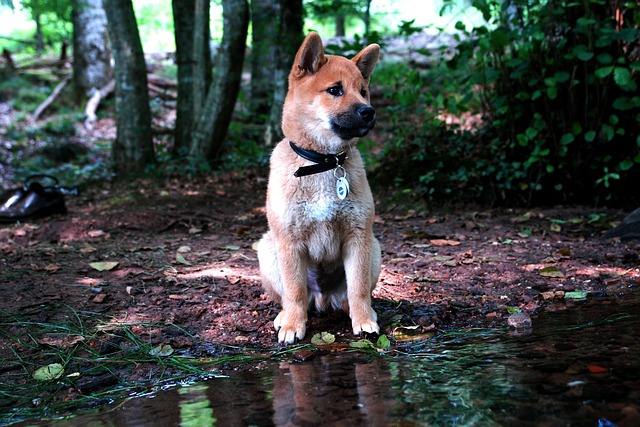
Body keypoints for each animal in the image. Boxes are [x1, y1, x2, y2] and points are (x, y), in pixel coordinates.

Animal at [258, 31, 382, 344]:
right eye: (335, 90)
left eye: (363, 91)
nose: (369, 112)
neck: (324, 163)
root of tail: (324, 298)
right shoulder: (288, 242)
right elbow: (294, 291)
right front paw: (293, 325)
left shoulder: (358, 236)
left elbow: (358, 287)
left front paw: (363, 321)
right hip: (267, 249)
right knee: (292, 297)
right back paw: (285, 316)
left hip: (374, 247)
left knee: (351, 294)